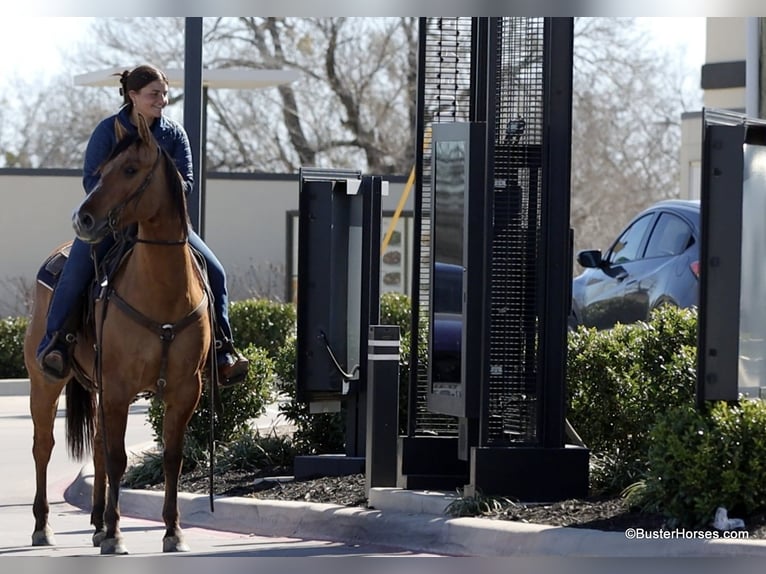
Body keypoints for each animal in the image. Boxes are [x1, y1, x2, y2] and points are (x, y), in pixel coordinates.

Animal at [23, 113, 213, 560]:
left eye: (129, 169)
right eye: (101, 170)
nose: (83, 220)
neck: (163, 290)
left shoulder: (185, 389)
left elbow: (171, 458)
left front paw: (173, 531)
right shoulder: (120, 387)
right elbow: (118, 459)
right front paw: (115, 534)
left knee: (94, 446)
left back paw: (94, 523)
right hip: (46, 382)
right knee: (44, 446)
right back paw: (43, 527)